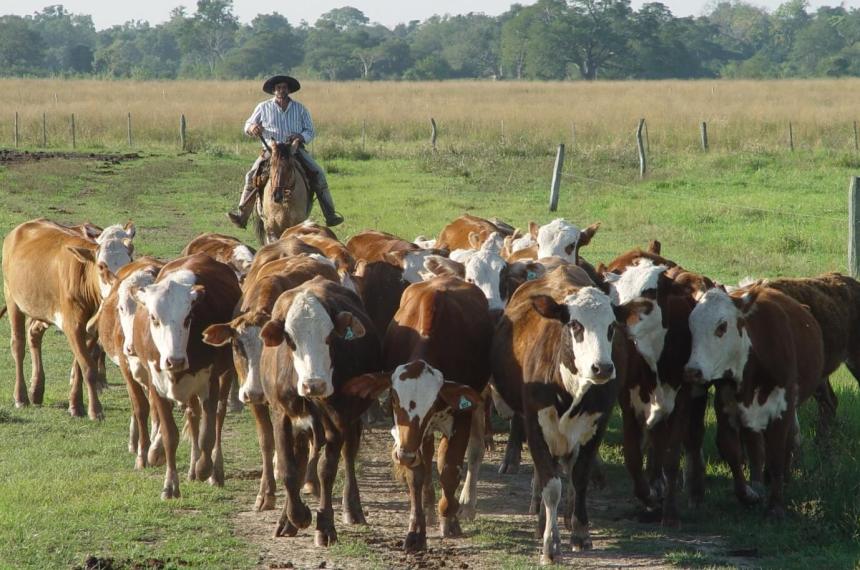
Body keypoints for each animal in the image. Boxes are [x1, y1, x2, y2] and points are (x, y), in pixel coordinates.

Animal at [2, 217, 134, 418]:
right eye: (101, 266)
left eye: (130, 261)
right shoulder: (72, 325)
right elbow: (87, 367)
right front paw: (95, 410)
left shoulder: (90, 330)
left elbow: (81, 364)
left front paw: (75, 404)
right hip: (12, 299)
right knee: (18, 345)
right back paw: (21, 397)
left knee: (34, 334)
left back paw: (36, 390)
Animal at [129, 253, 242, 496]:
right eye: (154, 318)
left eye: (188, 318)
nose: (175, 361)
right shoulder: (156, 383)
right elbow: (170, 435)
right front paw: (170, 484)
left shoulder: (210, 381)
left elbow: (208, 433)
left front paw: (204, 468)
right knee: (193, 415)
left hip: (226, 375)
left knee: (218, 417)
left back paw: (214, 472)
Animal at [490, 266, 624, 564]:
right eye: (575, 325)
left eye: (611, 327)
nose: (603, 368)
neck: (571, 390)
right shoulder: (536, 426)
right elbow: (551, 485)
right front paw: (550, 544)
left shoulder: (596, 427)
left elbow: (580, 477)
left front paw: (580, 532)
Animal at [684, 284, 828, 516]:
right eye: (691, 325)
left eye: (722, 326)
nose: (692, 371)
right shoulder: (727, 408)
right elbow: (732, 452)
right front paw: (749, 495)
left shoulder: (782, 409)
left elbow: (777, 452)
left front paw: (776, 505)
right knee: (756, 448)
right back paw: (759, 482)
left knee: (785, 443)